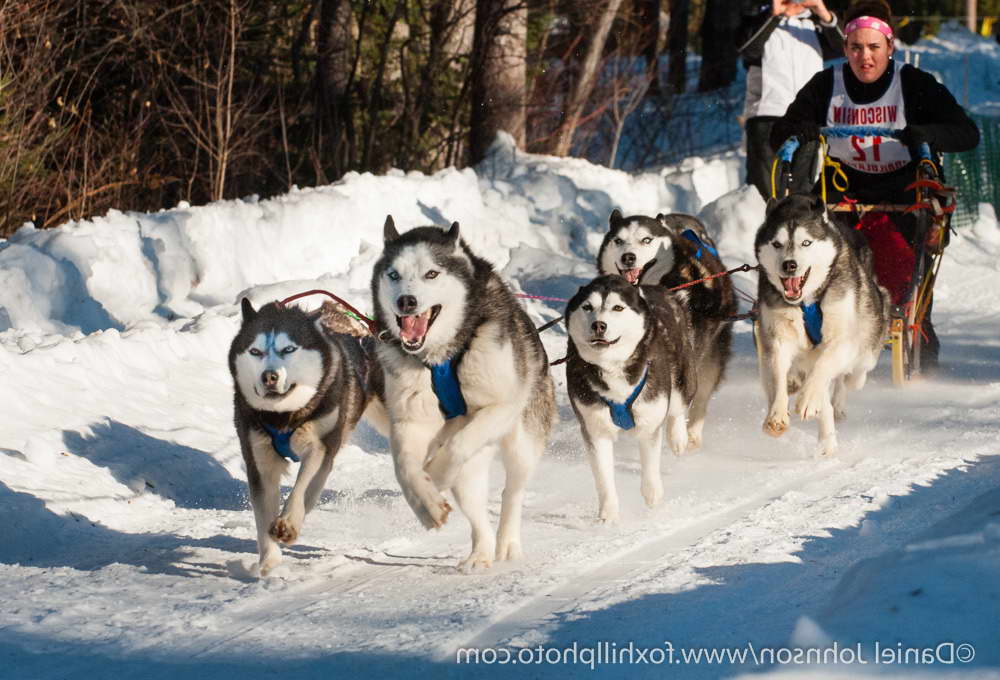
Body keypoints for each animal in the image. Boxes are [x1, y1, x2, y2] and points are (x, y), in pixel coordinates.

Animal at [229, 298, 382, 572]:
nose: (269, 377)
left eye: (289, 349)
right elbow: (263, 511)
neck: (283, 417)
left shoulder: (321, 447)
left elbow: (302, 488)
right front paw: (269, 560)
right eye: (255, 351)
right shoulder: (259, 457)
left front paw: (289, 522)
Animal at [372, 215, 556, 572]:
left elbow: (457, 445)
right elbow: (404, 468)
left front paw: (434, 474)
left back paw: (506, 543)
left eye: (432, 273)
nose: (406, 301)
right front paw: (426, 504)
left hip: (521, 445)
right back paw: (480, 553)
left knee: (511, 493)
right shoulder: (409, 420)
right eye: (394, 274)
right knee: (477, 512)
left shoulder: (502, 405)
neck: (441, 357)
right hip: (471, 471)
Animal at [568, 274, 700, 524]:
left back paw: (678, 438)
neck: (612, 367)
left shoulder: (650, 420)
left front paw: (652, 493)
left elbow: (649, 461)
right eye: (587, 307)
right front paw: (608, 513)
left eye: (617, 307)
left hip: (682, 379)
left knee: (678, 409)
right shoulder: (594, 427)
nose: (598, 325)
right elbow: (603, 476)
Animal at [596, 210, 732, 448]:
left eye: (646, 239)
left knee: (702, 393)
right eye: (619, 240)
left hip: (712, 354)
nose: (628, 257)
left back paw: (692, 434)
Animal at [752, 193, 888, 456]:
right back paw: (826, 438)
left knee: (851, 375)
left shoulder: (842, 340)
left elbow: (825, 366)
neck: (806, 302)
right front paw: (777, 414)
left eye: (806, 243)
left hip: (869, 336)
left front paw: (807, 400)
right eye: (776, 244)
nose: (789, 265)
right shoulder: (777, 339)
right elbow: (777, 375)